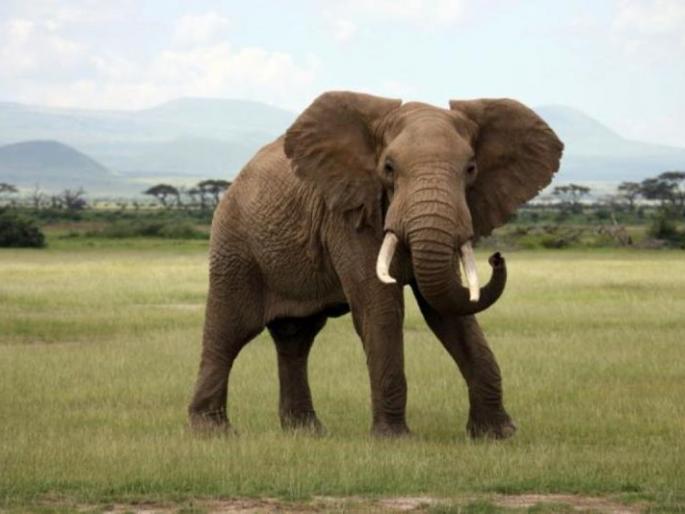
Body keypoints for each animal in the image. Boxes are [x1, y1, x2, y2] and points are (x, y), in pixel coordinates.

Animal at [188, 91, 563, 439]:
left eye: (471, 169)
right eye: (389, 169)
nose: (496, 257)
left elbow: (448, 310)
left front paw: (498, 435)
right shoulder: (348, 214)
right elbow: (380, 307)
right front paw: (395, 439)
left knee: (296, 337)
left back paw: (307, 433)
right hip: (234, 245)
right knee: (229, 330)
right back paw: (213, 432)